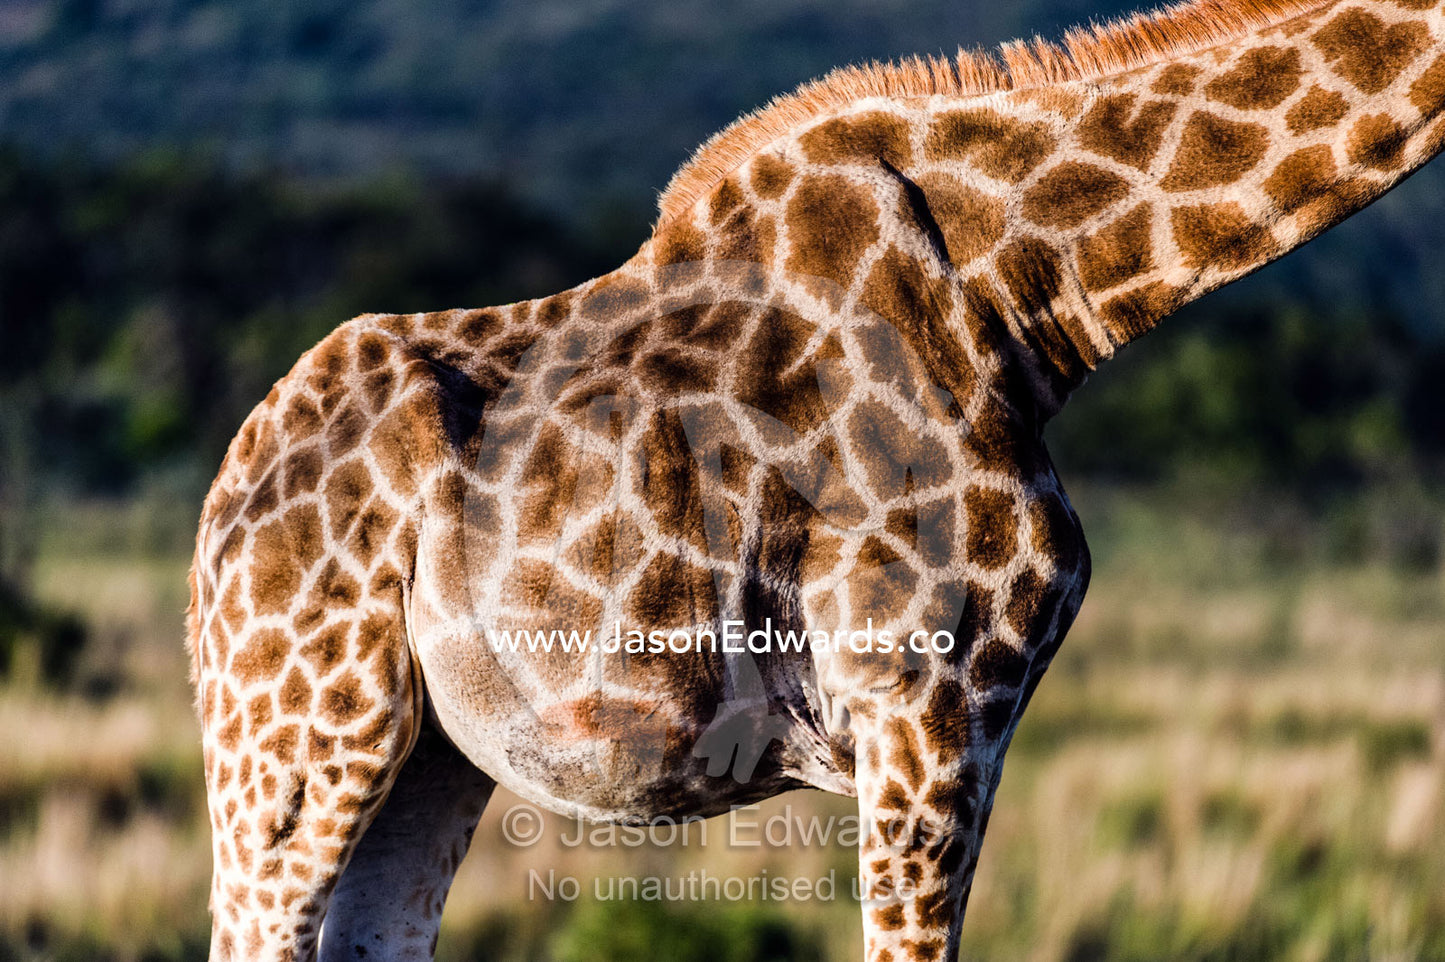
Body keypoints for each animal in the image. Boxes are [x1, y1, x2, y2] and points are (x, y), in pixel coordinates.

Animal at [188, 0, 1445, 956]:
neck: (1024, 297)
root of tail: (216, 509)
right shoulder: (923, 705)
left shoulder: (962, 727)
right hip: (295, 730)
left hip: (425, 756)